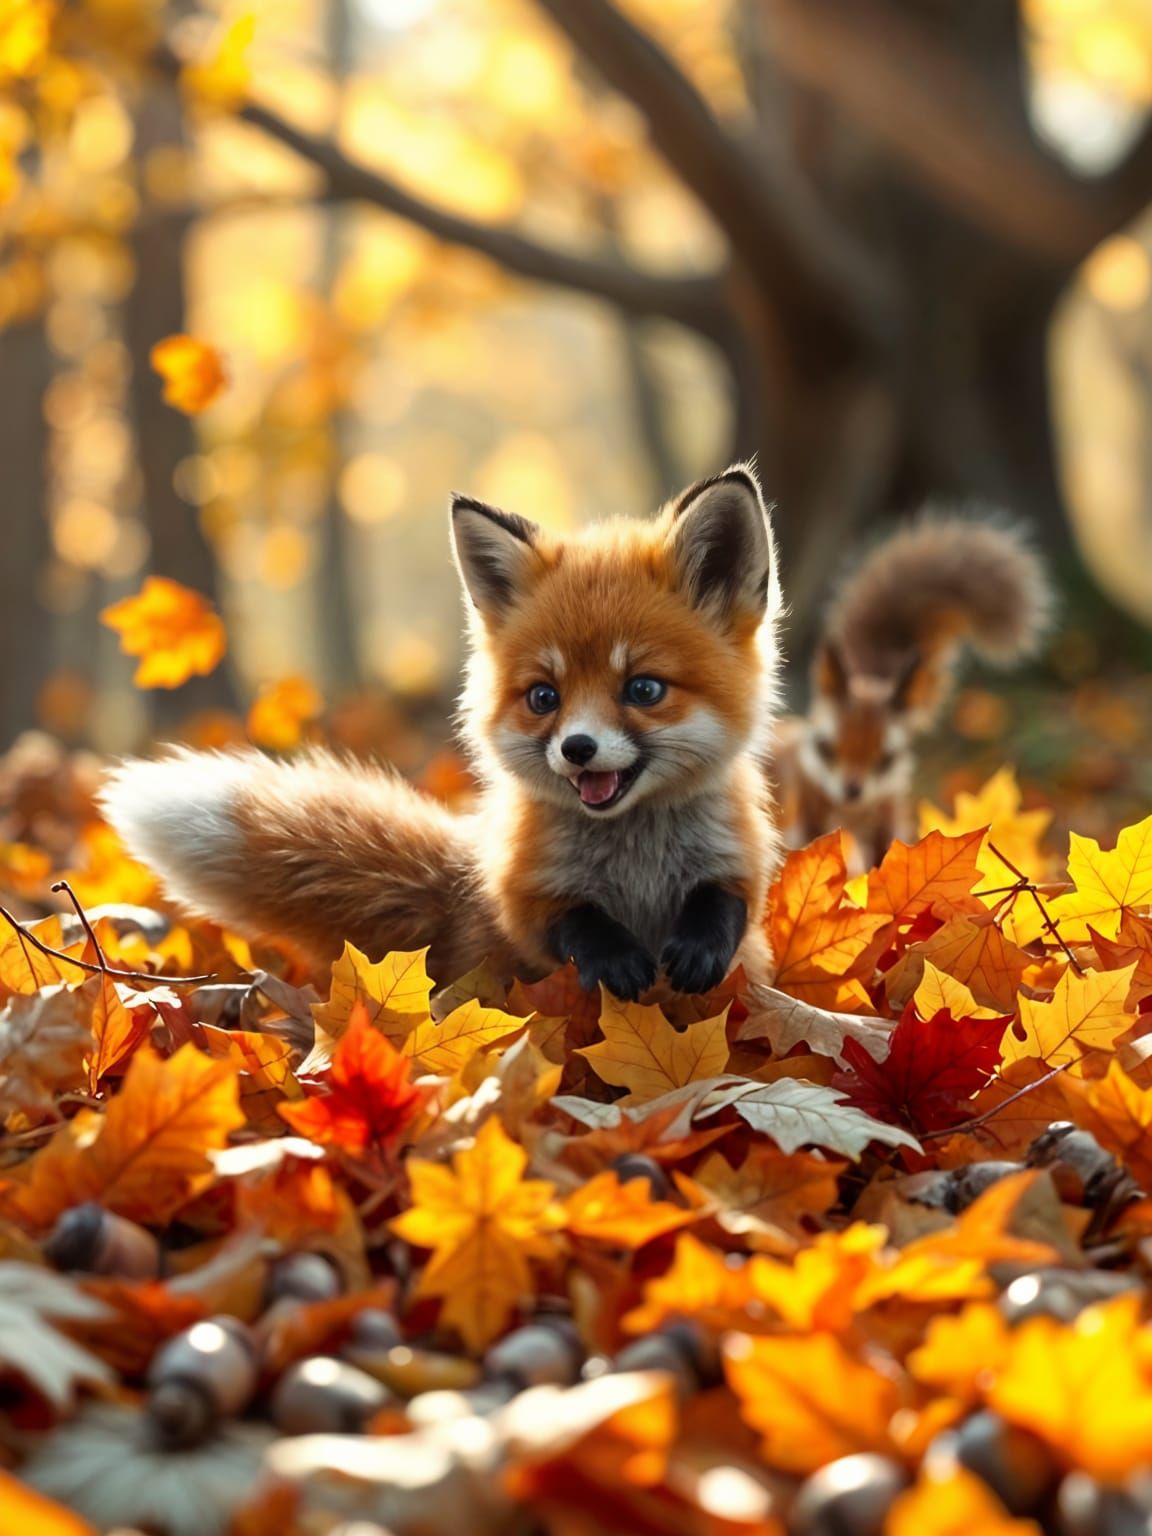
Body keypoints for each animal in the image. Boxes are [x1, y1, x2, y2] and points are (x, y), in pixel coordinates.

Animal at [100, 466, 783, 1001]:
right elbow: (570, 925)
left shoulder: (737, 860)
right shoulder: (523, 891)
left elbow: (728, 902)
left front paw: (697, 948)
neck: (634, 855)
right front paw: (613, 957)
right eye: (544, 697)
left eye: (643, 689)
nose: (577, 750)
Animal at [770, 514, 1052, 871]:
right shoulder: (806, 813)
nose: (852, 789)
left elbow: (883, 856)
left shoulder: (885, 820)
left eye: (888, 755)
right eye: (827, 746)